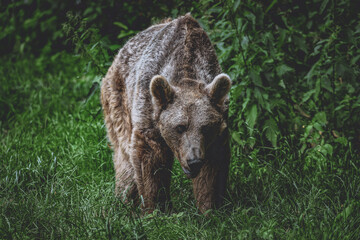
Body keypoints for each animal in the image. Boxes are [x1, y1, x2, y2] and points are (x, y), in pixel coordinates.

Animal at [100, 14, 232, 213]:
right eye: (180, 127)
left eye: (206, 128)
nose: (194, 161)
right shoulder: (149, 109)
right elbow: (150, 160)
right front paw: (155, 208)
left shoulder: (218, 129)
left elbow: (213, 169)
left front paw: (210, 207)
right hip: (117, 97)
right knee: (125, 159)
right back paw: (124, 200)